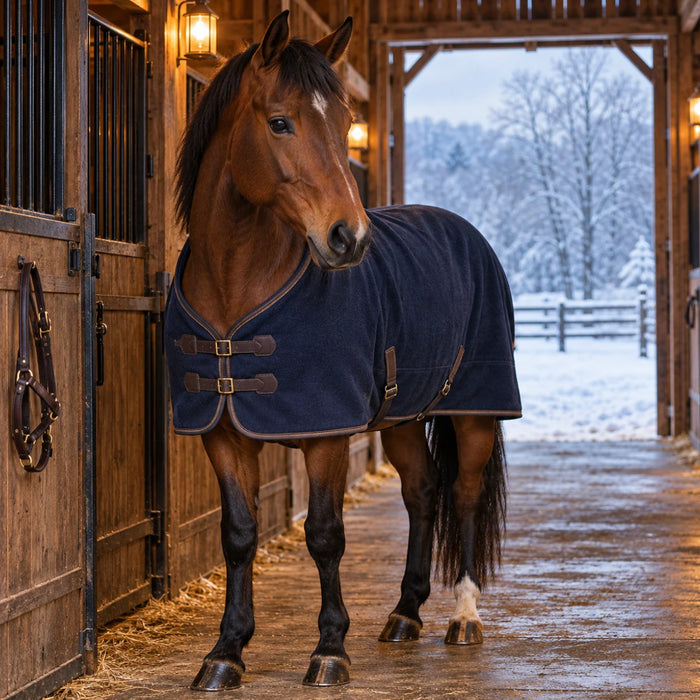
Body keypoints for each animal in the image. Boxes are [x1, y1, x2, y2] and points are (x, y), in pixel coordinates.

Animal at [166, 10, 521, 691]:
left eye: (342, 120)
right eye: (280, 122)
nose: (348, 237)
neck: (237, 291)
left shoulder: (326, 435)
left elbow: (325, 535)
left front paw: (330, 650)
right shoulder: (221, 432)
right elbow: (239, 534)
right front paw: (225, 652)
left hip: (474, 412)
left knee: (463, 495)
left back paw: (463, 617)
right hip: (404, 418)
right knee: (422, 493)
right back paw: (405, 613)